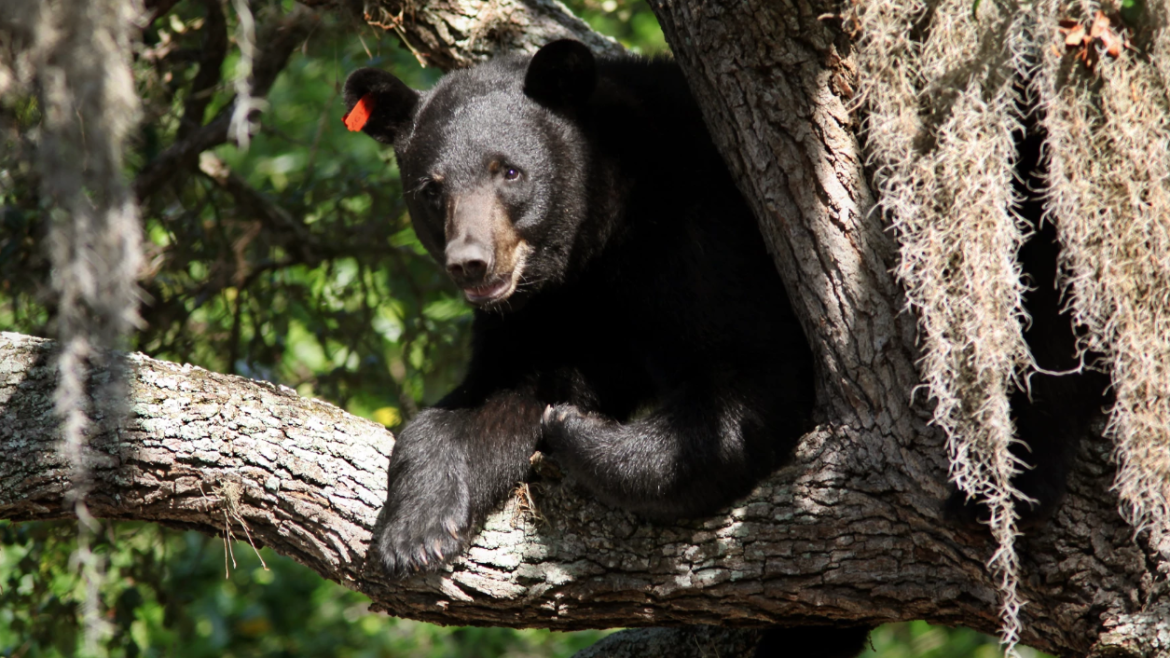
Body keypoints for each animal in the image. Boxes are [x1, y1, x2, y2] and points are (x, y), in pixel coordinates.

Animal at [342, 41, 815, 573]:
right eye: (431, 188)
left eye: (509, 171)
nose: (471, 263)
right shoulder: (551, 310)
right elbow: (501, 390)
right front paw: (419, 528)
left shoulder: (704, 236)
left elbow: (745, 376)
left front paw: (575, 427)